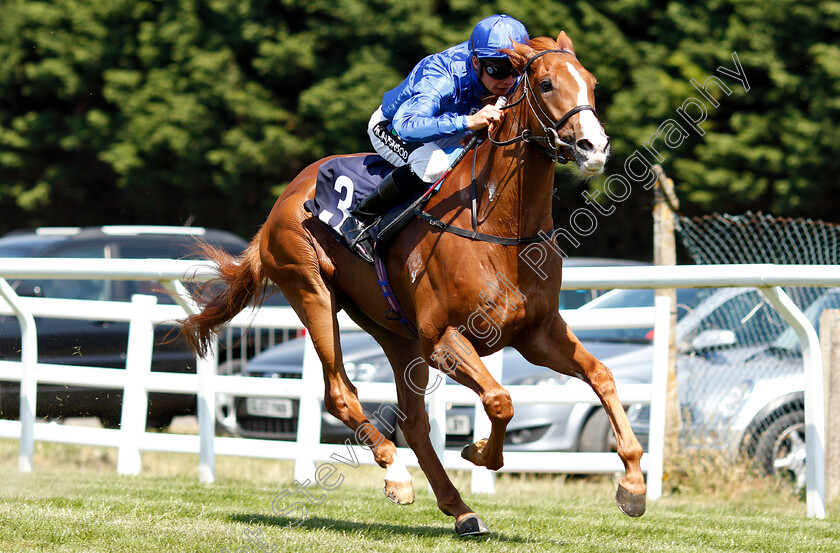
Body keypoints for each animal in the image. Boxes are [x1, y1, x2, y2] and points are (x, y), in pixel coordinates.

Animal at [180, 33, 648, 536]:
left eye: (592, 84)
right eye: (545, 83)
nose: (592, 146)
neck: (498, 230)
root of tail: (282, 202)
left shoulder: (536, 333)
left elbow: (601, 376)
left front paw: (633, 486)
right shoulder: (443, 339)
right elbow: (500, 400)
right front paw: (479, 451)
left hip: (396, 333)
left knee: (415, 421)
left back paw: (460, 509)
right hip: (311, 292)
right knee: (341, 393)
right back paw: (398, 475)